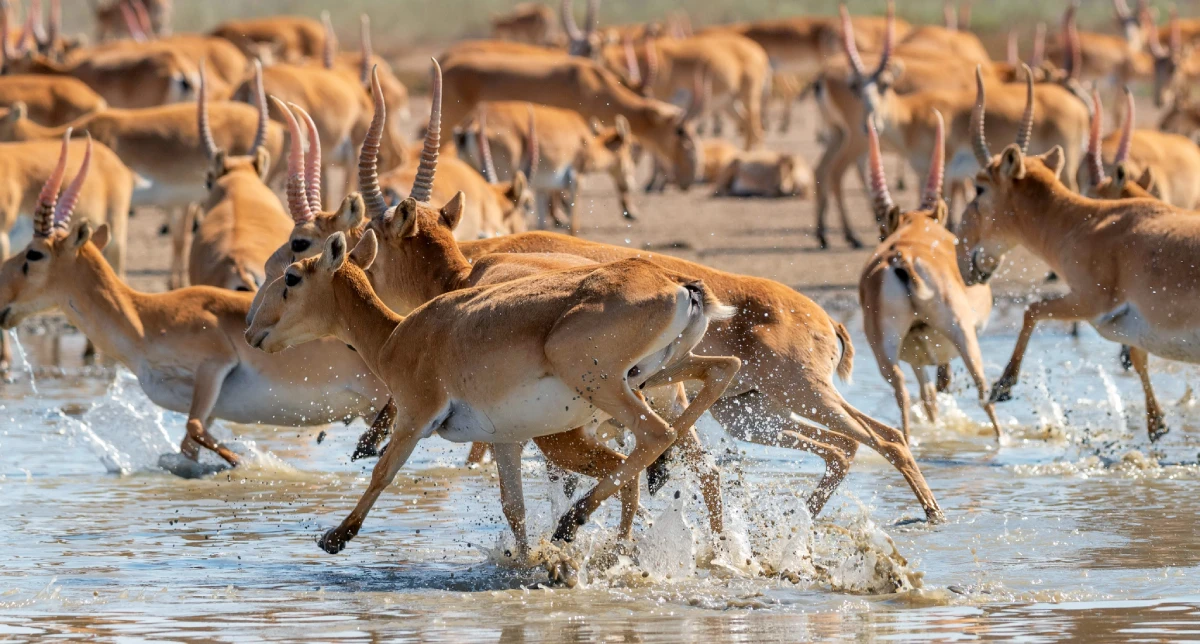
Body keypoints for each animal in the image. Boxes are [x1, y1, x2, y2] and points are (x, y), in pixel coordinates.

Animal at [0, 131, 391, 472]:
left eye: (34, 253)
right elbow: (187, 447)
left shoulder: (213, 366)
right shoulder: (208, 407)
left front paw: (243, 461)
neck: (145, 319)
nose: (4, 303)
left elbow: (193, 428)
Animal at [453, 103, 638, 236]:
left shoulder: (542, 189)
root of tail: (471, 126)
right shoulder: (576, 178)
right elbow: (573, 225)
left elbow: (542, 224)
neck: (588, 143)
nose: (631, 181)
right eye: (629, 147)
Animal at [859, 112, 998, 438]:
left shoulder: (918, 357)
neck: (916, 228)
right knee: (982, 388)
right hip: (962, 334)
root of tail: (902, 258)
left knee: (903, 391)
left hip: (886, 351)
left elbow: (929, 397)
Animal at [955, 81, 1200, 441]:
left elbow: (1032, 310)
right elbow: (1138, 355)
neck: (1086, 222)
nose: (963, 257)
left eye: (980, 188)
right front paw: (1157, 423)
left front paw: (1002, 386)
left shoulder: (1091, 302)